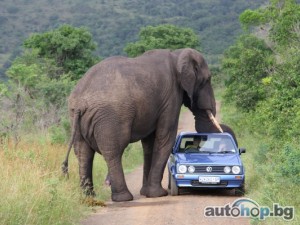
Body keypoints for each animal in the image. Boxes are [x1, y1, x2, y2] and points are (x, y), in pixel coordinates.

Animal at [61, 48, 221, 202]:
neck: (177, 54)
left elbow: (149, 144)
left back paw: (88, 198)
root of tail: (80, 102)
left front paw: (146, 193)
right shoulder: (171, 98)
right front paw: (158, 194)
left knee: (83, 153)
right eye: (207, 80)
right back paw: (123, 198)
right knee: (113, 151)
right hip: (110, 117)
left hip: (75, 117)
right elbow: (165, 137)